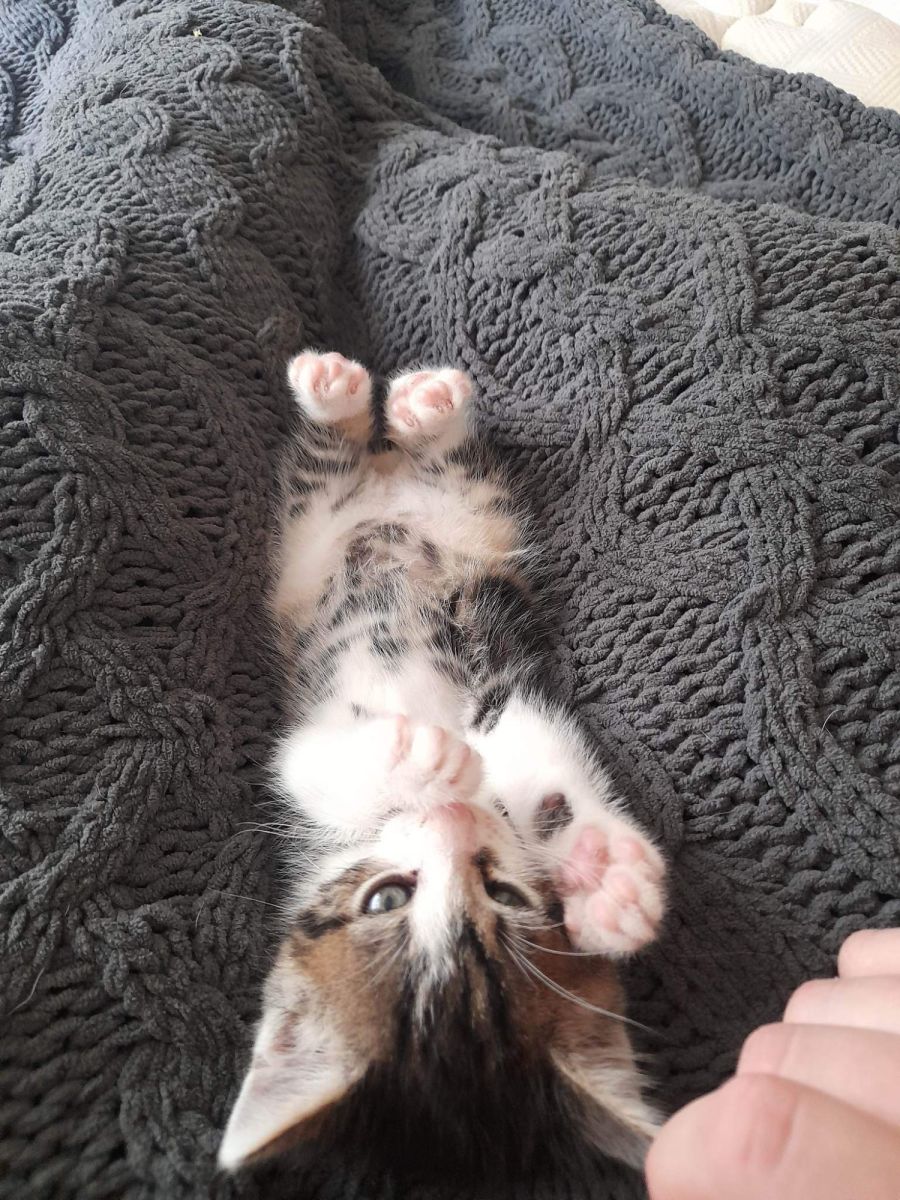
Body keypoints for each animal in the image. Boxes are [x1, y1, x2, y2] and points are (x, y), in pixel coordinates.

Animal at [218, 351, 666, 1185]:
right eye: (385, 899)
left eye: (504, 896)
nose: (454, 818)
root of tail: (387, 479)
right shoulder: (306, 770)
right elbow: (319, 766)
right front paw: (418, 757)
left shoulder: (498, 692)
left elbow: (536, 761)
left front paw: (604, 875)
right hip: (307, 525)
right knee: (323, 463)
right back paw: (346, 401)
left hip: (475, 514)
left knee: (444, 459)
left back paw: (416, 411)